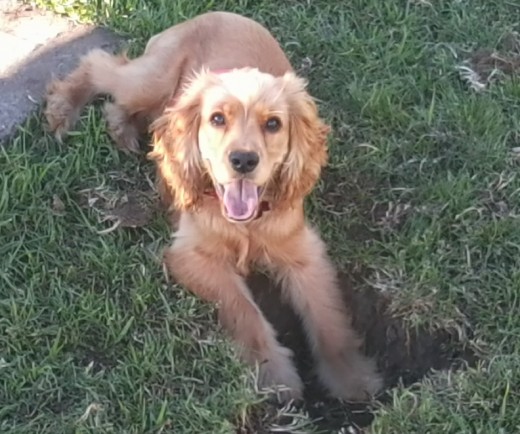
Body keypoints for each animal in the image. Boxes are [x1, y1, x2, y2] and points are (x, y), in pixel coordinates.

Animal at [45, 11, 382, 404]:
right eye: (217, 119)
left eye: (273, 124)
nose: (243, 160)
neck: (245, 223)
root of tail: (214, 13)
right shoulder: (191, 256)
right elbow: (243, 310)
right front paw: (274, 376)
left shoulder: (303, 252)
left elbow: (328, 316)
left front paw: (351, 378)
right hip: (152, 79)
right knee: (101, 65)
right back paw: (63, 108)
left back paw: (122, 128)